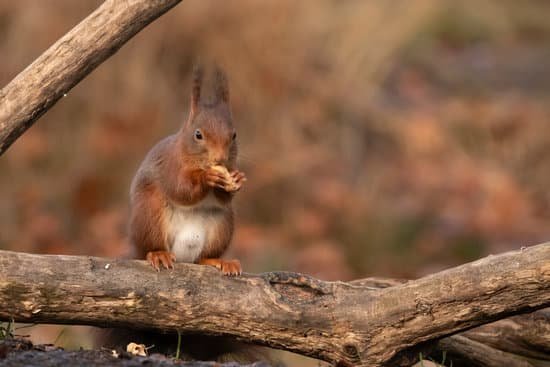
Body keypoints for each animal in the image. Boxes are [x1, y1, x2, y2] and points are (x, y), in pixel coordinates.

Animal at [130, 66, 246, 274]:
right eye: (198, 134)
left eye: (234, 135)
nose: (219, 159)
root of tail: (182, 256)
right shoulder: (169, 165)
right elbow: (181, 189)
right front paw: (208, 176)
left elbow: (224, 198)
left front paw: (237, 179)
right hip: (150, 215)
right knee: (150, 247)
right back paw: (158, 255)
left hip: (222, 226)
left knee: (202, 258)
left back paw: (220, 261)